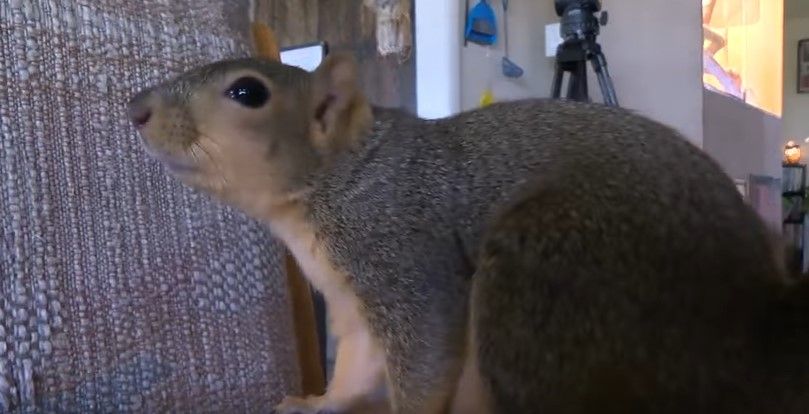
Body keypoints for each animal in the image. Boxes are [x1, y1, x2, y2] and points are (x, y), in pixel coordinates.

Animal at [127, 52, 809, 413]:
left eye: (248, 92)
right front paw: (317, 403)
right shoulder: (353, 296)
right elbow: (357, 364)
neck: (339, 181)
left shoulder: (406, 253)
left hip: (545, 274)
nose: (135, 109)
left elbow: (426, 356)